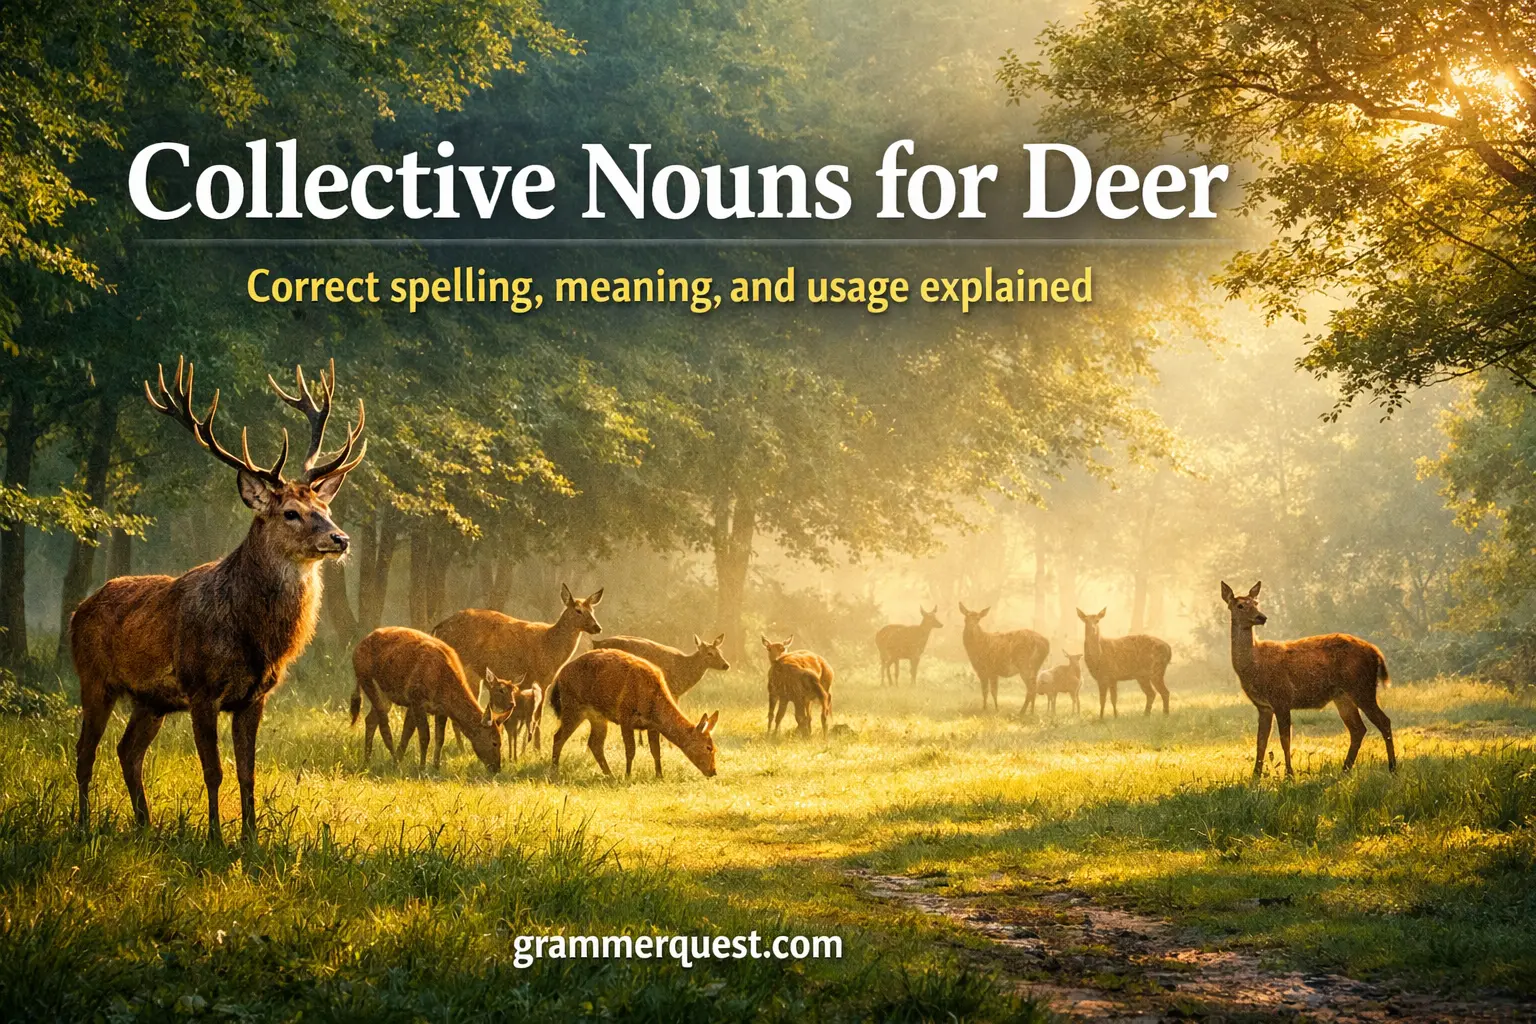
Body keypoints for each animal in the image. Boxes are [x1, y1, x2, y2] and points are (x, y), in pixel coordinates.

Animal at [71, 356, 364, 844]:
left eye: (324, 508)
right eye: (291, 513)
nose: (339, 538)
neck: (254, 637)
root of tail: (77, 609)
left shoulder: (254, 696)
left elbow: (248, 773)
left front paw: (251, 839)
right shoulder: (201, 688)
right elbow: (214, 771)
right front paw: (214, 837)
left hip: (151, 700)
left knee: (127, 751)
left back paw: (145, 824)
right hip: (94, 679)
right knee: (84, 751)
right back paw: (83, 824)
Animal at [349, 627, 508, 772]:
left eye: (501, 741)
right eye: (494, 742)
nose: (497, 768)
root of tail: (356, 648)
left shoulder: (440, 709)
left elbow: (437, 738)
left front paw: (436, 767)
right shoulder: (417, 699)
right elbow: (424, 736)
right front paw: (421, 768)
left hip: (384, 694)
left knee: (370, 719)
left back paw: (368, 760)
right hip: (366, 680)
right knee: (383, 725)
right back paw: (391, 760)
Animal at [547, 649, 719, 779]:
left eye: (715, 748)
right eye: (708, 747)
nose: (713, 772)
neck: (652, 704)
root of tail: (559, 676)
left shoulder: (652, 726)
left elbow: (656, 751)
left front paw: (659, 776)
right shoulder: (625, 717)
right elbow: (630, 750)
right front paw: (628, 775)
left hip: (597, 716)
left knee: (594, 743)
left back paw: (610, 775)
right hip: (572, 705)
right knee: (558, 737)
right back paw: (555, 769)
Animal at [1222, 581, 1396, 777]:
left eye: (1256, 603)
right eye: (1240, 605)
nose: (1262, 617)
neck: (1253, 664)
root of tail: (1376, 652)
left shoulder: (1282, 697)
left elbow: (1285, 739)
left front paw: (1289, 774)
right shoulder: (1263, 706)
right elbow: (1261, 741)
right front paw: (1255, 775)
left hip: (1362, 687)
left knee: (1384, 721)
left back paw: (1392, 768)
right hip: (1342, 695)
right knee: (1358, 729)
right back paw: (1345, 769)